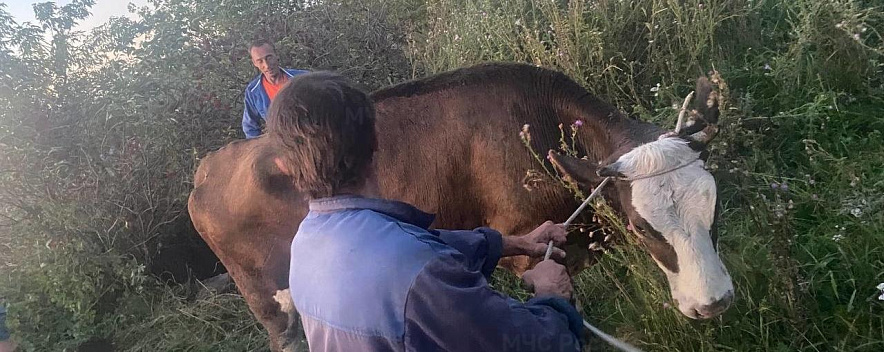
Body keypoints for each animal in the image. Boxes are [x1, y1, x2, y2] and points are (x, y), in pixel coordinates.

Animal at [190, 62, 736, 350]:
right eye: (643, 228)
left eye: (713, 207)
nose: (714, 302)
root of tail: (208, 167)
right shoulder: (531, 263)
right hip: (267, 301)